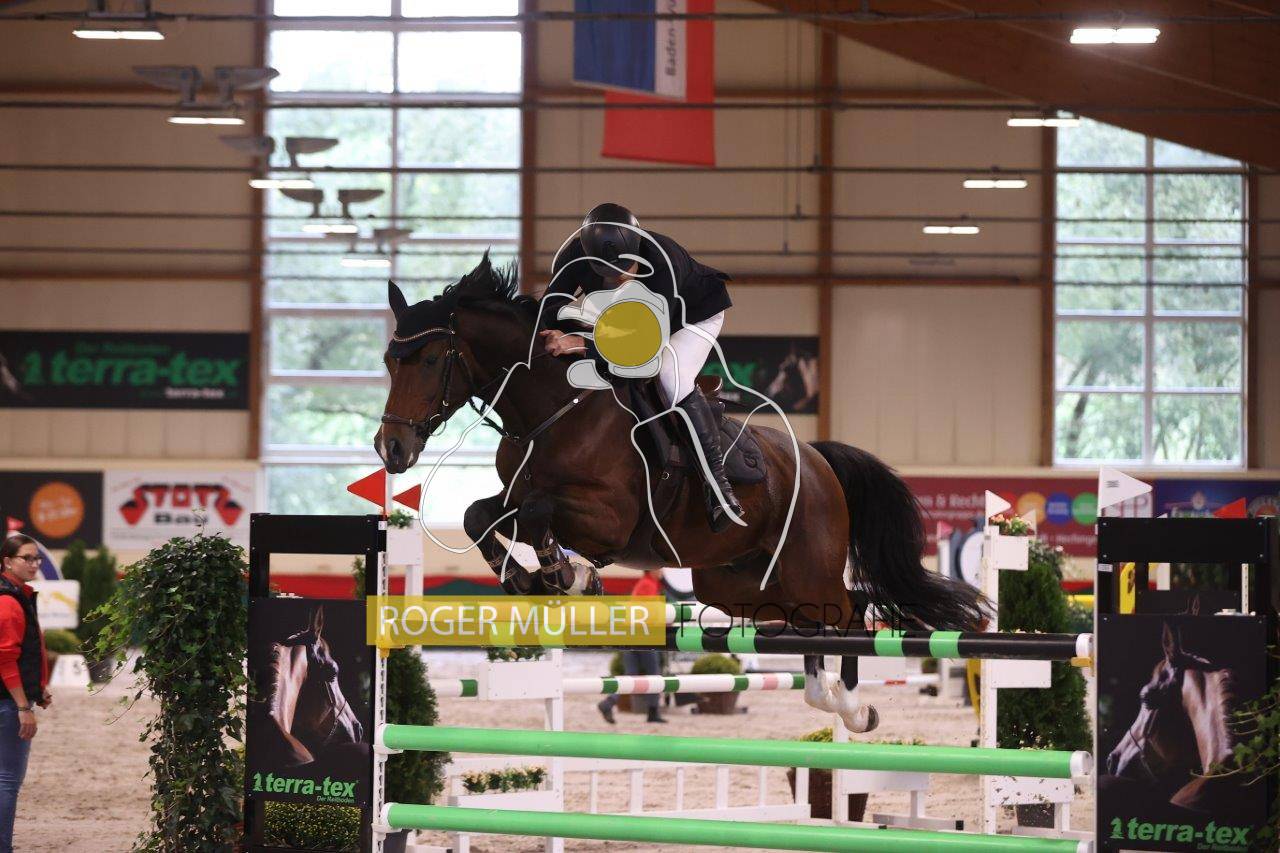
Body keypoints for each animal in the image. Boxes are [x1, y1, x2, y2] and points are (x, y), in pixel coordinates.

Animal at [375, 256, 986, 732]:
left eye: (430, 359)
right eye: (387, 360)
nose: (391, 449)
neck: (553, 408)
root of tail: (816, 460)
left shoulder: (608, 518)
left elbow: (538, 510)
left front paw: (569, 574)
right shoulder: (518, 492)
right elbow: (481, 514)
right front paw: (529, 579)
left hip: (806, 567)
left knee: (852, 613)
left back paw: (855, 710)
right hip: (742, 586)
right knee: (826, 621)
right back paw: (829, 697)